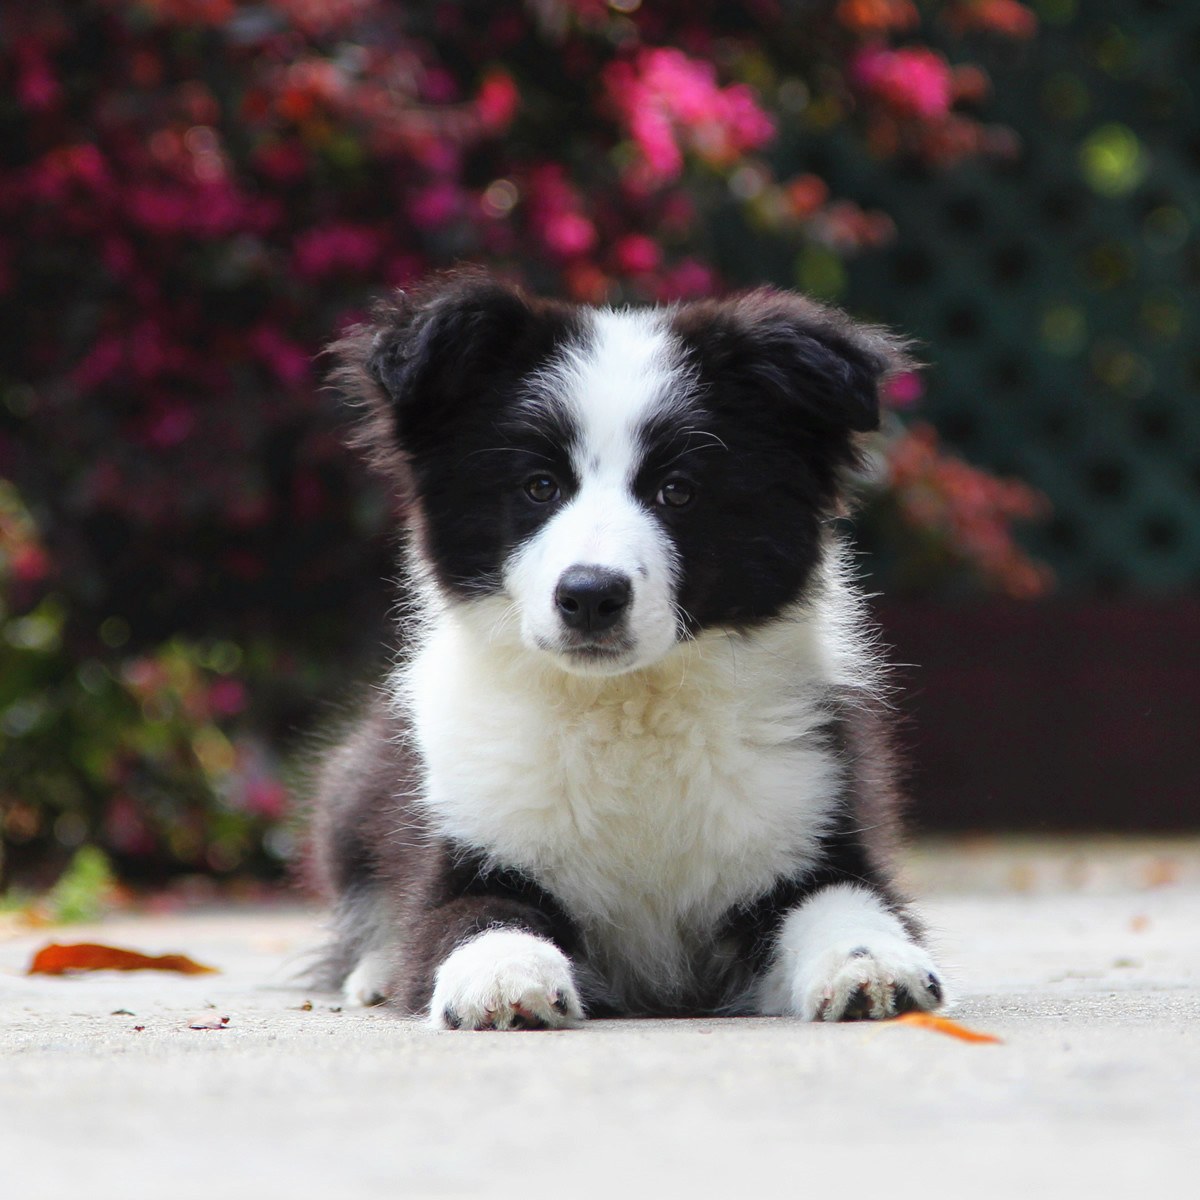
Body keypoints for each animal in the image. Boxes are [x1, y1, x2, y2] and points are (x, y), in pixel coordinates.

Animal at [312, 272, 945, 1032]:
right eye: (540, 486)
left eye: (678, 491)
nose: (590, 596)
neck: (624, 706)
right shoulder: (469, 846)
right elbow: (470, 917)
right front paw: (504, 977)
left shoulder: (811, 824)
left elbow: (845, 901)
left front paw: (873, 965)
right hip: (354, 791)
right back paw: (373, 974)